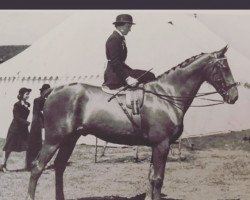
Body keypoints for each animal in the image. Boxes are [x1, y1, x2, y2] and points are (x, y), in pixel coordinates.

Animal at [25, 45, 238, 200]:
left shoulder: (156, 146)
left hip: (71, 138)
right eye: (223, 67)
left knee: (59, 167)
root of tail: (53, 90)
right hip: (54, 139)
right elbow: (158, 179)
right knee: (37, 167)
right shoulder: (162, 145)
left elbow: (151, 178)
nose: (234, 96)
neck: (167, 95)